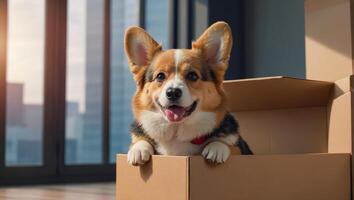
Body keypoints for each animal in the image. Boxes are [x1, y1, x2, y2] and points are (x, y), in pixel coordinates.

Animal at [124, 21, 252, 166]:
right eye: (160, 76)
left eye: (192, 75)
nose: (173, 93)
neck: (177, 130)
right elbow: (140, 140)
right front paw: (138, 149)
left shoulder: (243, 150)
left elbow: (231, 146)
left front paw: (217, 147)